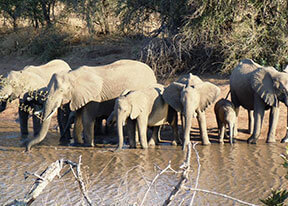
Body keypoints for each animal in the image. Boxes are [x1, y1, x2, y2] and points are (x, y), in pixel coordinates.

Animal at [25, 58, 156, 150]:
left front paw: (88, 145)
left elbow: (87, 117)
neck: (72, 75)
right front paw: (77, 144)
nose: (27, 149)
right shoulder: (79, 96)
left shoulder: (93, 96)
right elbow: (78, 117)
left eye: (61, 91)